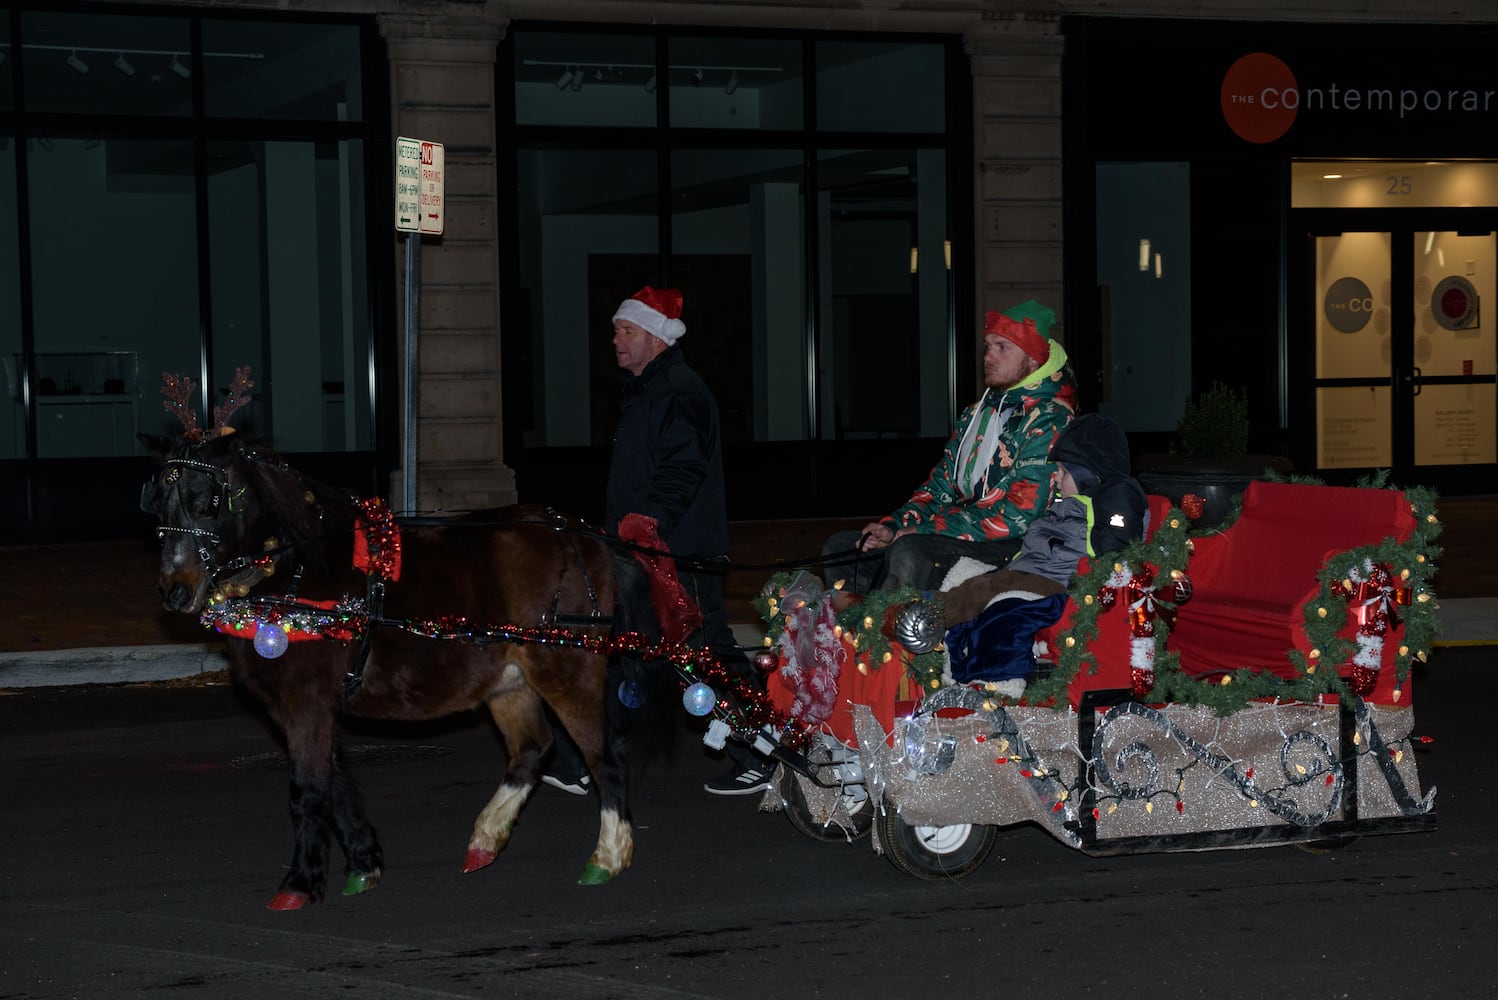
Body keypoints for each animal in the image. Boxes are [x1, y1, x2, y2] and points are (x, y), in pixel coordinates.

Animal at [139, 425, 668, 910]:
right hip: (508, 682)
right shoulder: (307, 708)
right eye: (158, 503)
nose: (174, 590)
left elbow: (307, 790)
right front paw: (363, 863)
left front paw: (299, 883)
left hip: (567, 670)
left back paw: (608, 857)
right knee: (532, 749)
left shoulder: (305, 701)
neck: (294, 573)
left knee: (603, 756)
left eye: (209, 501)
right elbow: (333, 782)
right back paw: (486, 838)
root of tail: (586, 536)